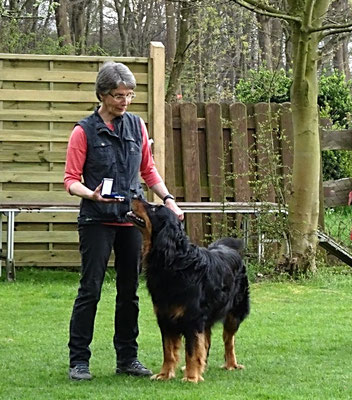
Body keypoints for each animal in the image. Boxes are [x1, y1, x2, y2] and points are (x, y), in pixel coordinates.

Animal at [125, 198, 249, 382]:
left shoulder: (193, 319)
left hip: (234, 313)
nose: (134, 196)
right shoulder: (165, 317)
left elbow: (192, 350)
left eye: (154, 208)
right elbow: (169, 350)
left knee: (229, 340)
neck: (174, 261)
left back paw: (231, 364)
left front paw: (191, 377)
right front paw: (165, 374)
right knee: (207, 342)